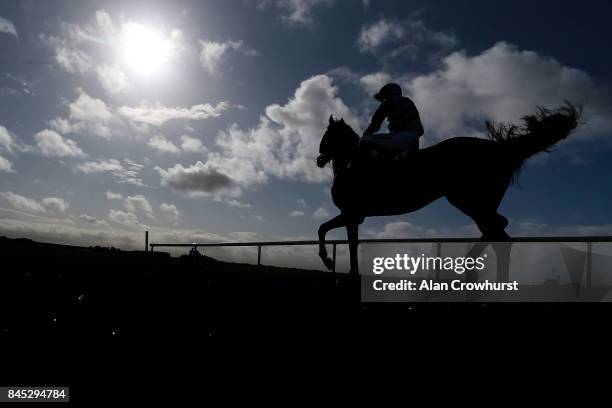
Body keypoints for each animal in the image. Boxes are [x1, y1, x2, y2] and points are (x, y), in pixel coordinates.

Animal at [318, 103, 580, 278]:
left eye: (328, 135)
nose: (319, 159)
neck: (353, 165)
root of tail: (502, 149)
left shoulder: (351, 213)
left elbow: (343, 240)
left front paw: (335, 264)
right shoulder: (354, 216)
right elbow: (331, 233)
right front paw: (334, 263)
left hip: (468, 200)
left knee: (499, 234)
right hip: (479, 203)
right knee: (499, 231)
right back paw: (474, 266)